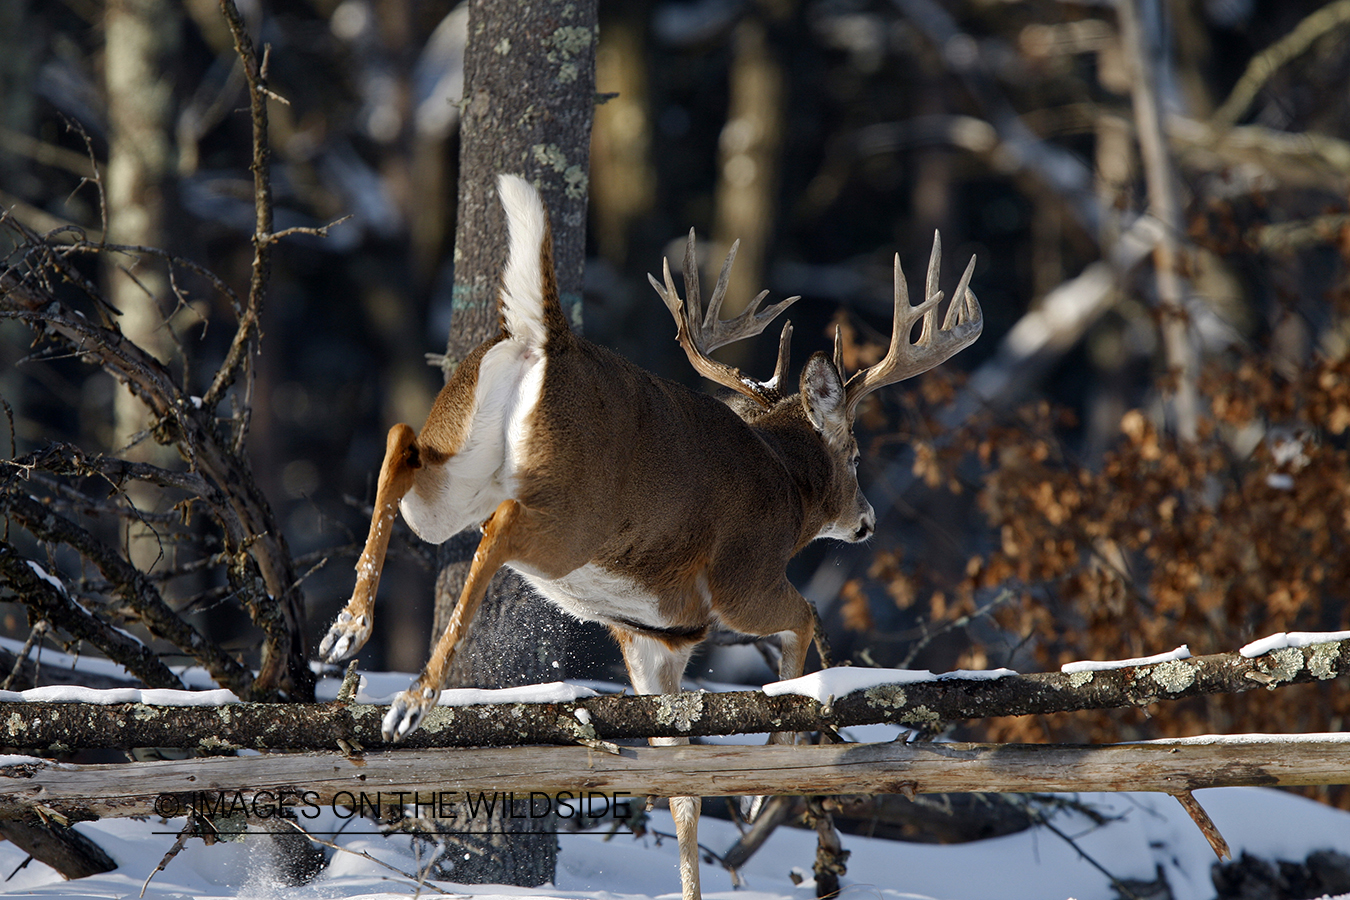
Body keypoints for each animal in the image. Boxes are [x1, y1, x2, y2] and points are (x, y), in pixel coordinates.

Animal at [315, 172, 982, 895]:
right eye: (856, 456)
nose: (867, 521)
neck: (786, 488)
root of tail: (549, 338)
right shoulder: (742, 582)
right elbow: (806, 619)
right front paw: (759, 789)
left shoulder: (652, 636)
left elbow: (681, 785)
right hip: (567, 518)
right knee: (497, 528)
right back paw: (415, 696)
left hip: (456, 468)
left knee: (399, 442)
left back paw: (348, 631)